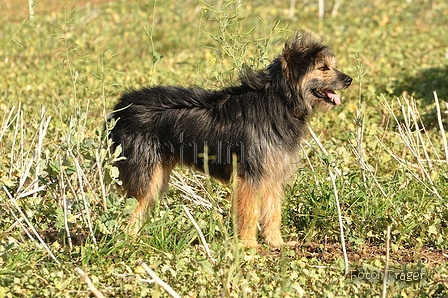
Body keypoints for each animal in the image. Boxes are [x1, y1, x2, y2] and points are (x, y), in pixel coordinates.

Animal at [107, 32, 350, 247]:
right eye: (323, 68)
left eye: (331, 65)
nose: (349, 80)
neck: (281, 100)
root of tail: (120, 108)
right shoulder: (250, 176)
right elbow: (250, 213)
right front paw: (249, 246)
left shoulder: (272, 173)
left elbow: (273, 212)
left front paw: (276, 243)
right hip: (145, 174)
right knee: (131, 210)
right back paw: (131, 243)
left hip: (156, 175)